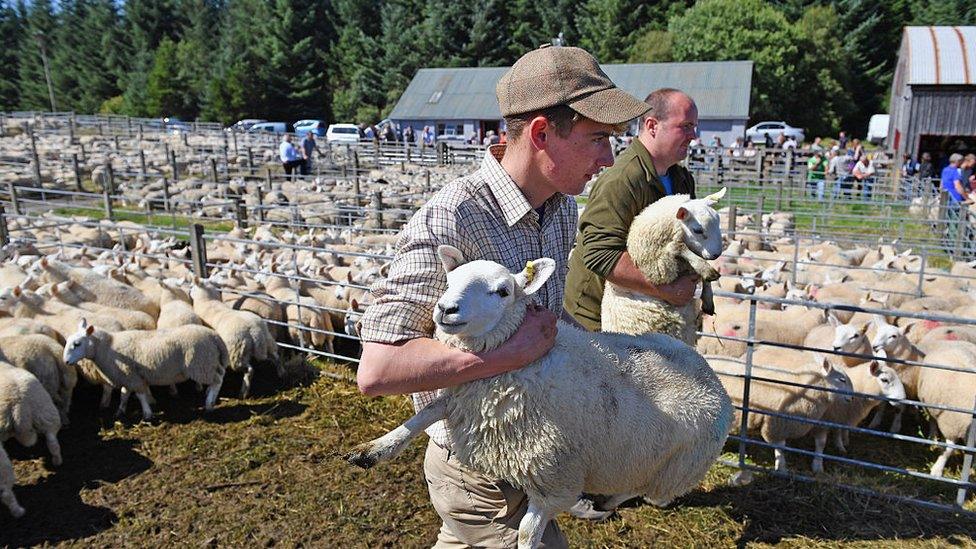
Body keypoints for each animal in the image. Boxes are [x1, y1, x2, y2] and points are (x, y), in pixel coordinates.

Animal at [62, 316, 227, 420]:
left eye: (77, 344)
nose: (66, 362)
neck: (108, 348)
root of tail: (215, 336)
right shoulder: (127, 375)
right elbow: (124, 394)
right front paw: (120, 411)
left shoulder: (132, 376)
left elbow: (140, 394)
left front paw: (147, 414)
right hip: (209, 362)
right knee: (219, 376)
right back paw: (209, 397)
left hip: (202, 364)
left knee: (217, 380)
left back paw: (209, 404)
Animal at [600, 188, 728, 342]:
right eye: (698, 230)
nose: (716, 254)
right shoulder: (659, 265)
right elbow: (677, 246)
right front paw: (706, 270)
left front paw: (708, 298)